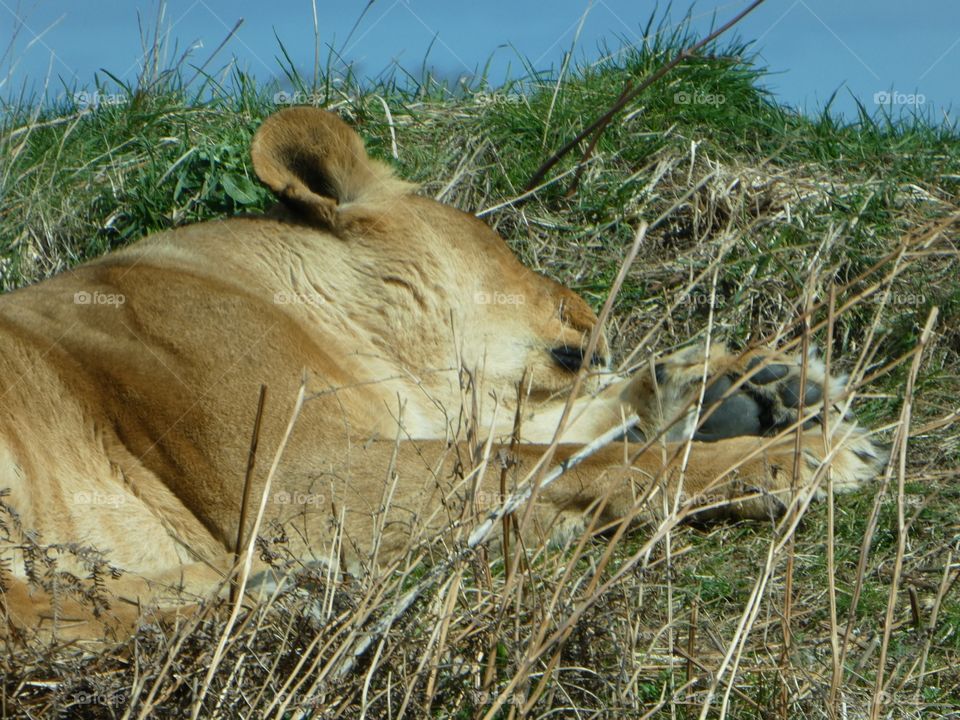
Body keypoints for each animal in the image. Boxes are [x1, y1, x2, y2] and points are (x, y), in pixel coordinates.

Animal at [0, 107, 886, 642]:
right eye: (507, 248)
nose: (587, 307)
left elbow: (561, 433)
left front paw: (759, 391)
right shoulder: (297, 479)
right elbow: (564, 458)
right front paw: (802, 455)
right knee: (32, 617)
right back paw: (266, 593)